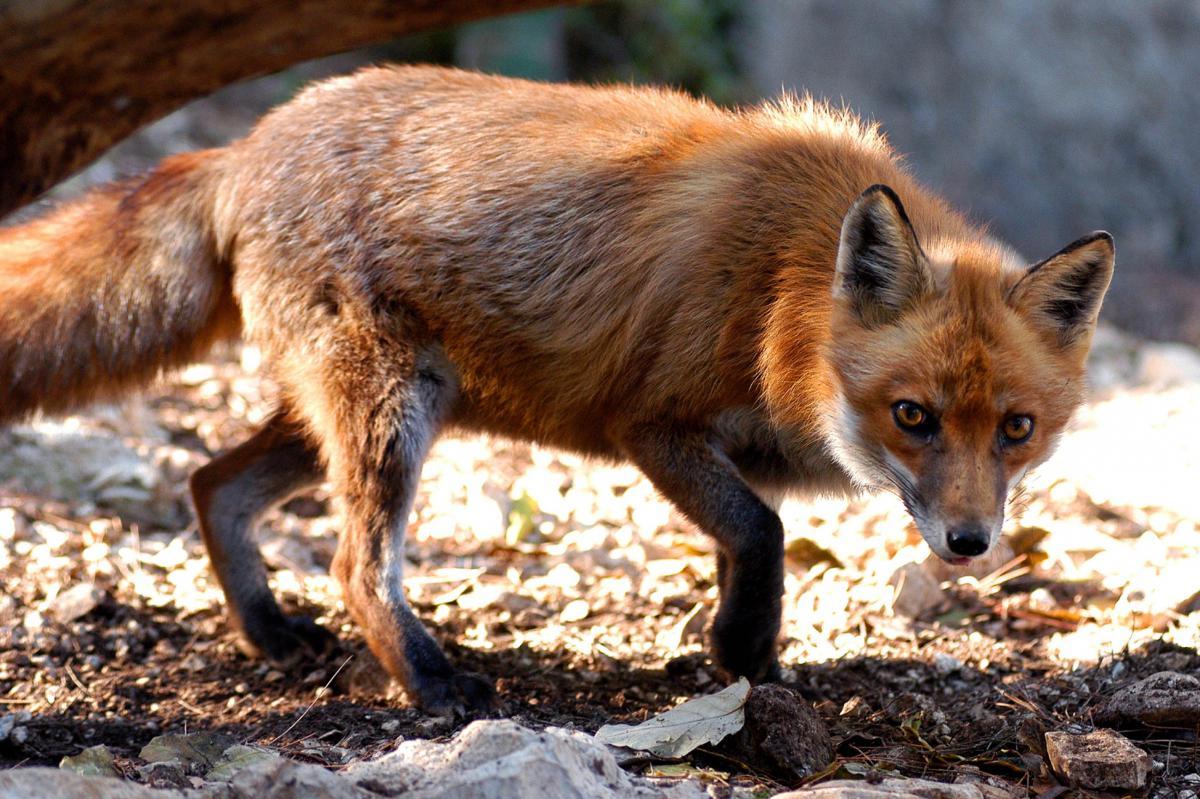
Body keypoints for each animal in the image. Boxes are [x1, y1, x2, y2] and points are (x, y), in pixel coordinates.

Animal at [0, 66, 1113, 710]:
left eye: (1017, 428)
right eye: (913, 417)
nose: (969, 542)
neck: (781, 290)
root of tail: (245, 144)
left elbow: (740, 544)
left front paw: (738, 656)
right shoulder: (649, 422)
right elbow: (762, 530)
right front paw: (746, 652)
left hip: (368, 410)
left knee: (210, 484)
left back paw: (272, 633)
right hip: (390, 415)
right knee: (357, 564)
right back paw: (433, 683)